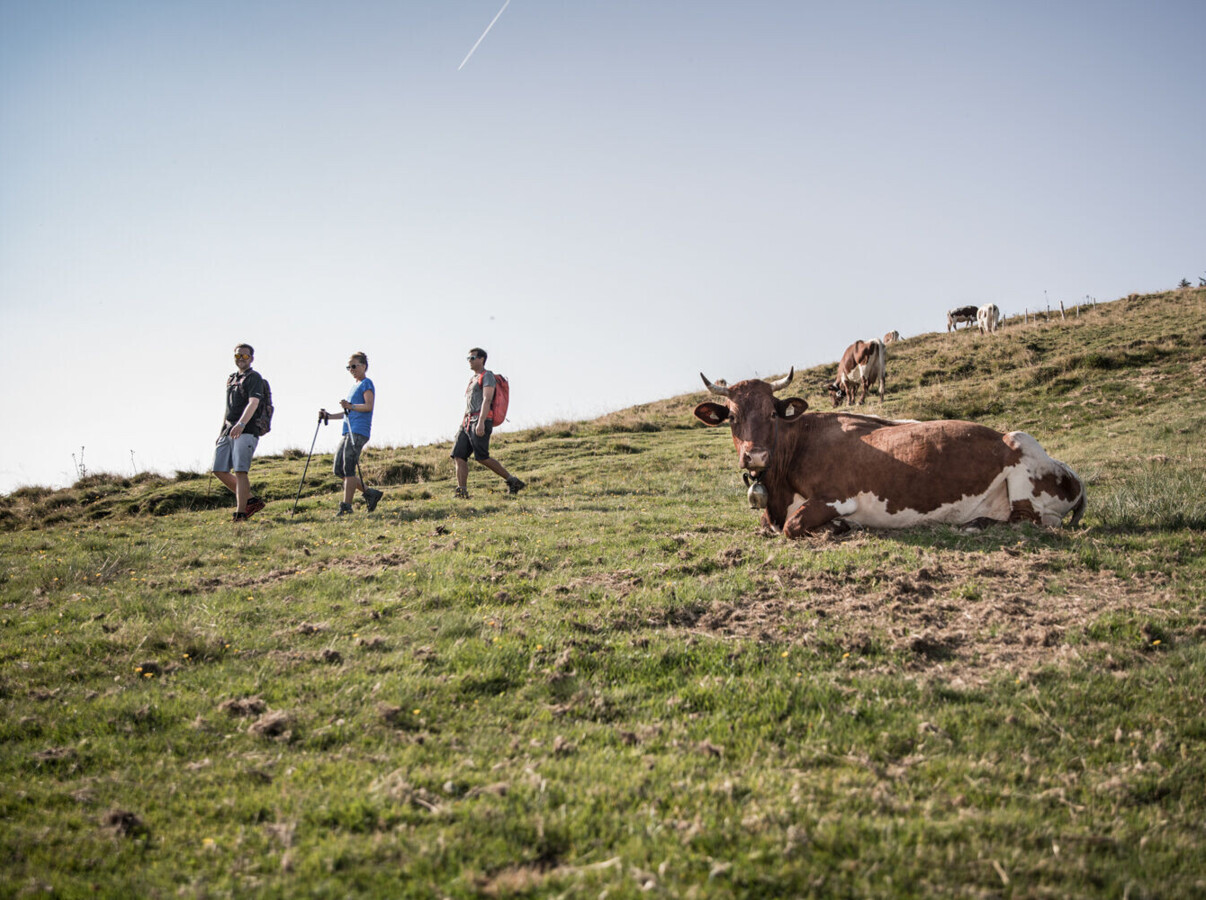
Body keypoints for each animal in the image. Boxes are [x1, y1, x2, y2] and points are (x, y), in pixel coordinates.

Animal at [694, 369, 1090, 535]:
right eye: (732, 416)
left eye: (771, 413)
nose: (756, 456)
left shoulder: (839, 496)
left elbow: (792, 527)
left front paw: (838, 527)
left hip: (1023, 454)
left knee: (1034, 521)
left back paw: (976, 524)